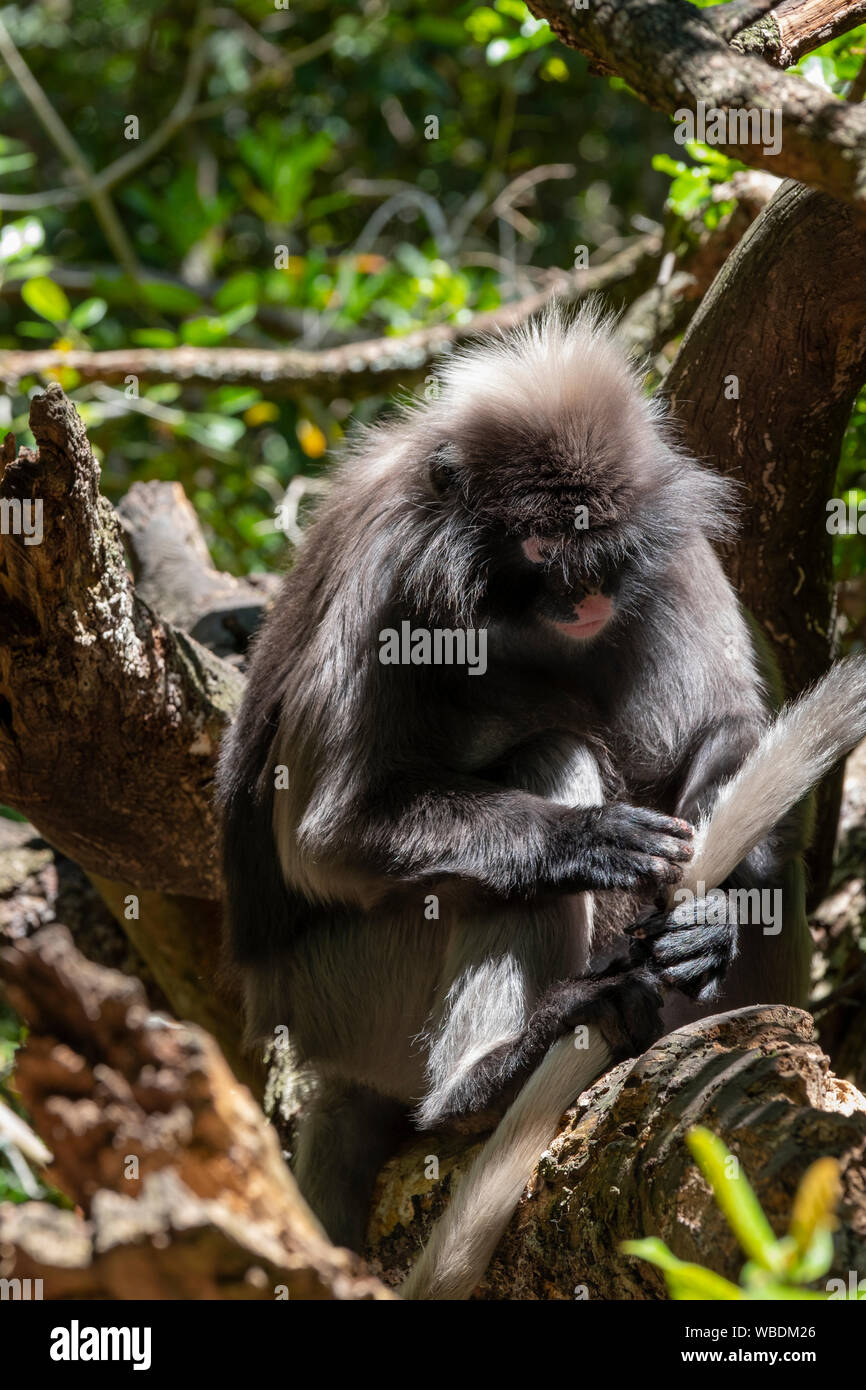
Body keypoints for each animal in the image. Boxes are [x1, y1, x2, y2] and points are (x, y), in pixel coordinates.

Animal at [218, 301, 866, 1289]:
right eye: (542, 545)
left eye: (607, 544)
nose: (589, 594)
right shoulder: (391, 563)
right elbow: (324, 836)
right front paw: (582, 840)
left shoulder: (668, 545)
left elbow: (727, 726)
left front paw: (705, 923)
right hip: (350, 992)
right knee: (547, 763)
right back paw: (484, 1080)